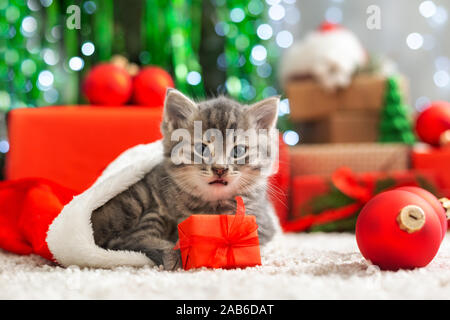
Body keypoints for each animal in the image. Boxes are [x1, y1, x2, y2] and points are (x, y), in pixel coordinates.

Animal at [90, 89, 282, 270]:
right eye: (202, 148)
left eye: (238, 151)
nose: (220, 169)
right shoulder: (157, 203)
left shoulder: (261, 222)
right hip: (138, 197)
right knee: (126, 239)